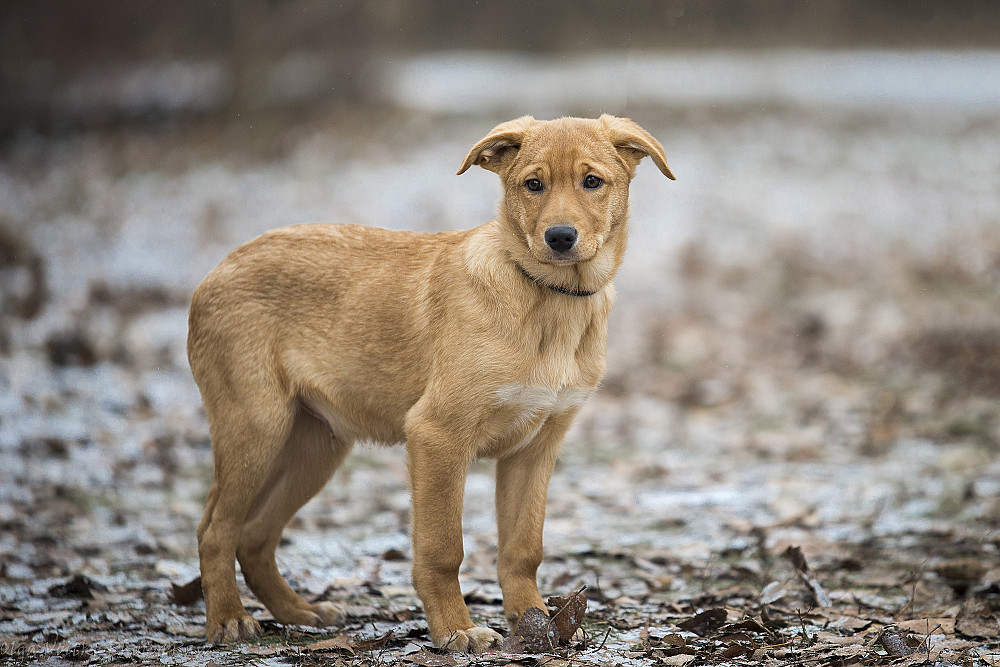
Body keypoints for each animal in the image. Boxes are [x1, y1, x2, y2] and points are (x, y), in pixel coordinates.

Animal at [186, 115, 672, 652]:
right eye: (533, 185)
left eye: (592, 182)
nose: (560, 237)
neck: (548, 299)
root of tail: (219, 267)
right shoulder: (437, 435)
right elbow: (443, 549)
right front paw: (457, 630)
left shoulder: (537, 447)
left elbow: (523, 548)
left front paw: (537, 623)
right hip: (256, 425)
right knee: (215, 529)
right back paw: (229, 620)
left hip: (316, 446)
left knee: (254, 534)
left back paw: (299, 612)